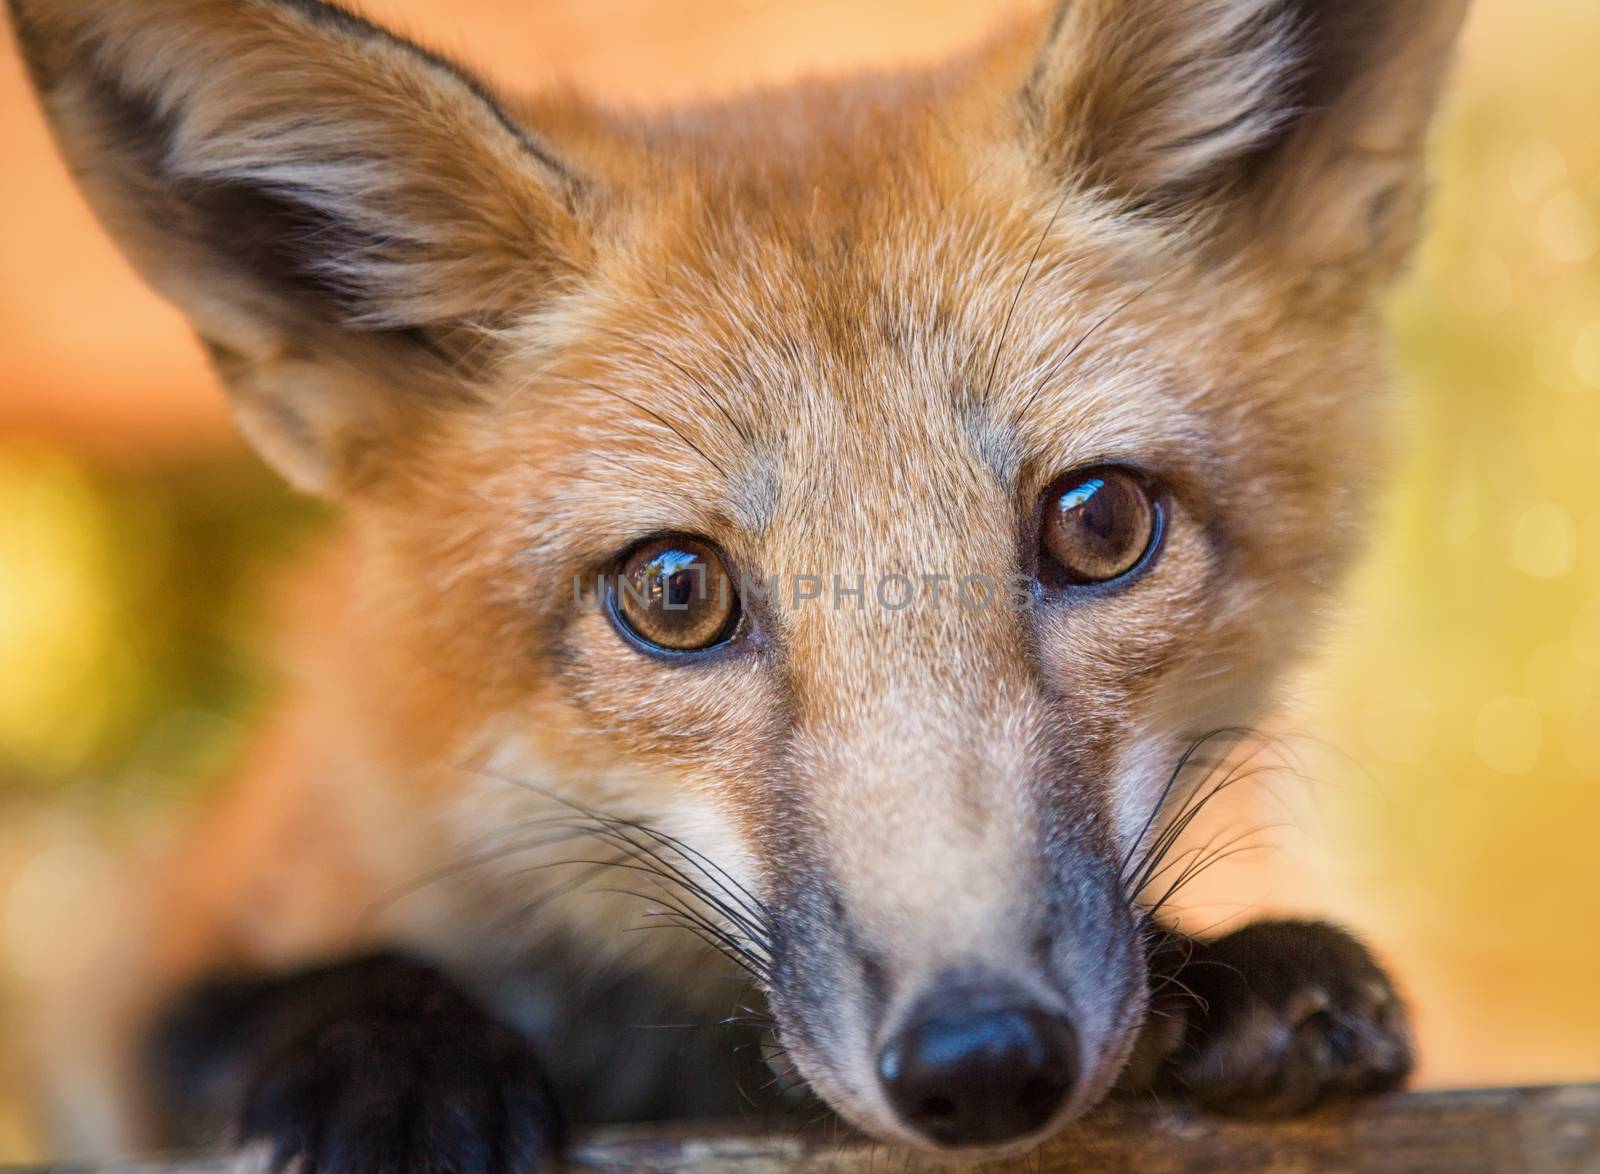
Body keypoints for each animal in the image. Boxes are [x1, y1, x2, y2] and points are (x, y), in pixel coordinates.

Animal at [6, 0, 1465, 1170]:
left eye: (1100, 523)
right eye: (674, 592)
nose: (983, 1058)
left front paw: (1223, 966)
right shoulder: (138, 955)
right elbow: (243, 1006)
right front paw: (392, 1060)